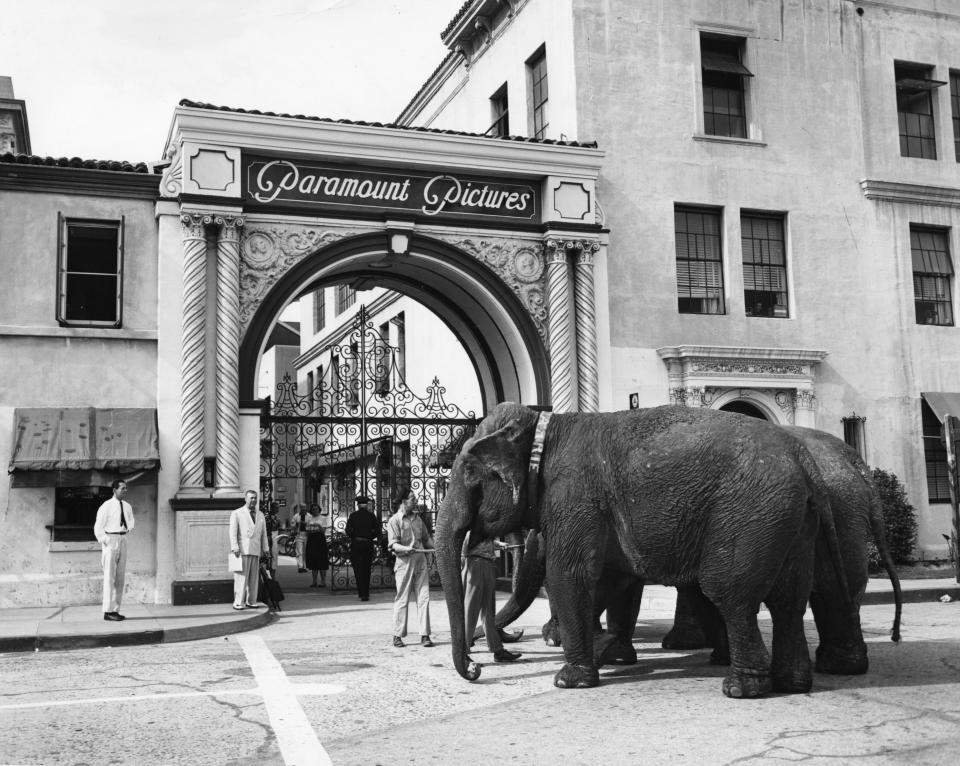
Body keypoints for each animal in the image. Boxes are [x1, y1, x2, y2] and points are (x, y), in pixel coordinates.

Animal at [434, 404, 848, 700]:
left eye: (469, 473)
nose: (476, 668)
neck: (543, 422)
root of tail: (803, 459)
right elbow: (613, 580)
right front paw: (606, 658)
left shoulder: (575, 496)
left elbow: (570, 575)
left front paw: (568, 681)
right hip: (791, 520)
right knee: (789, 600)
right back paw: (794, 684)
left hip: (751, 514)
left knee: (729, 593)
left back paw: (741, 689)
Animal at [498, 426, 904, 680]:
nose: (518, 640)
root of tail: (858, 465)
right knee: (834, 590)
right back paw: (841, 666)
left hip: (838, 513)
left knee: (831, 589)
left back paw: (837, 667)